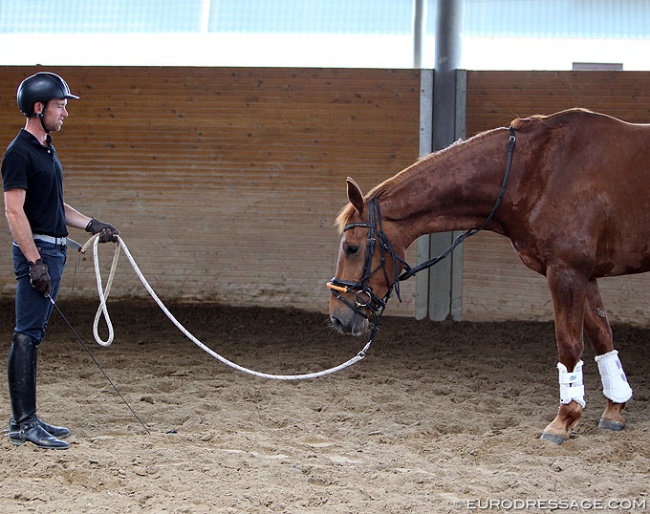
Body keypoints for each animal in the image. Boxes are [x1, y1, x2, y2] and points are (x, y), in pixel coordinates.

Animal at [326, 107, 640, 440]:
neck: (533, 171)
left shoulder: (566, 271)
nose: (337, 316)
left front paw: (564, 419)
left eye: (351, 248)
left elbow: (569, 344)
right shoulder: (585, 275)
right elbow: (602, 336)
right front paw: (614, 410)